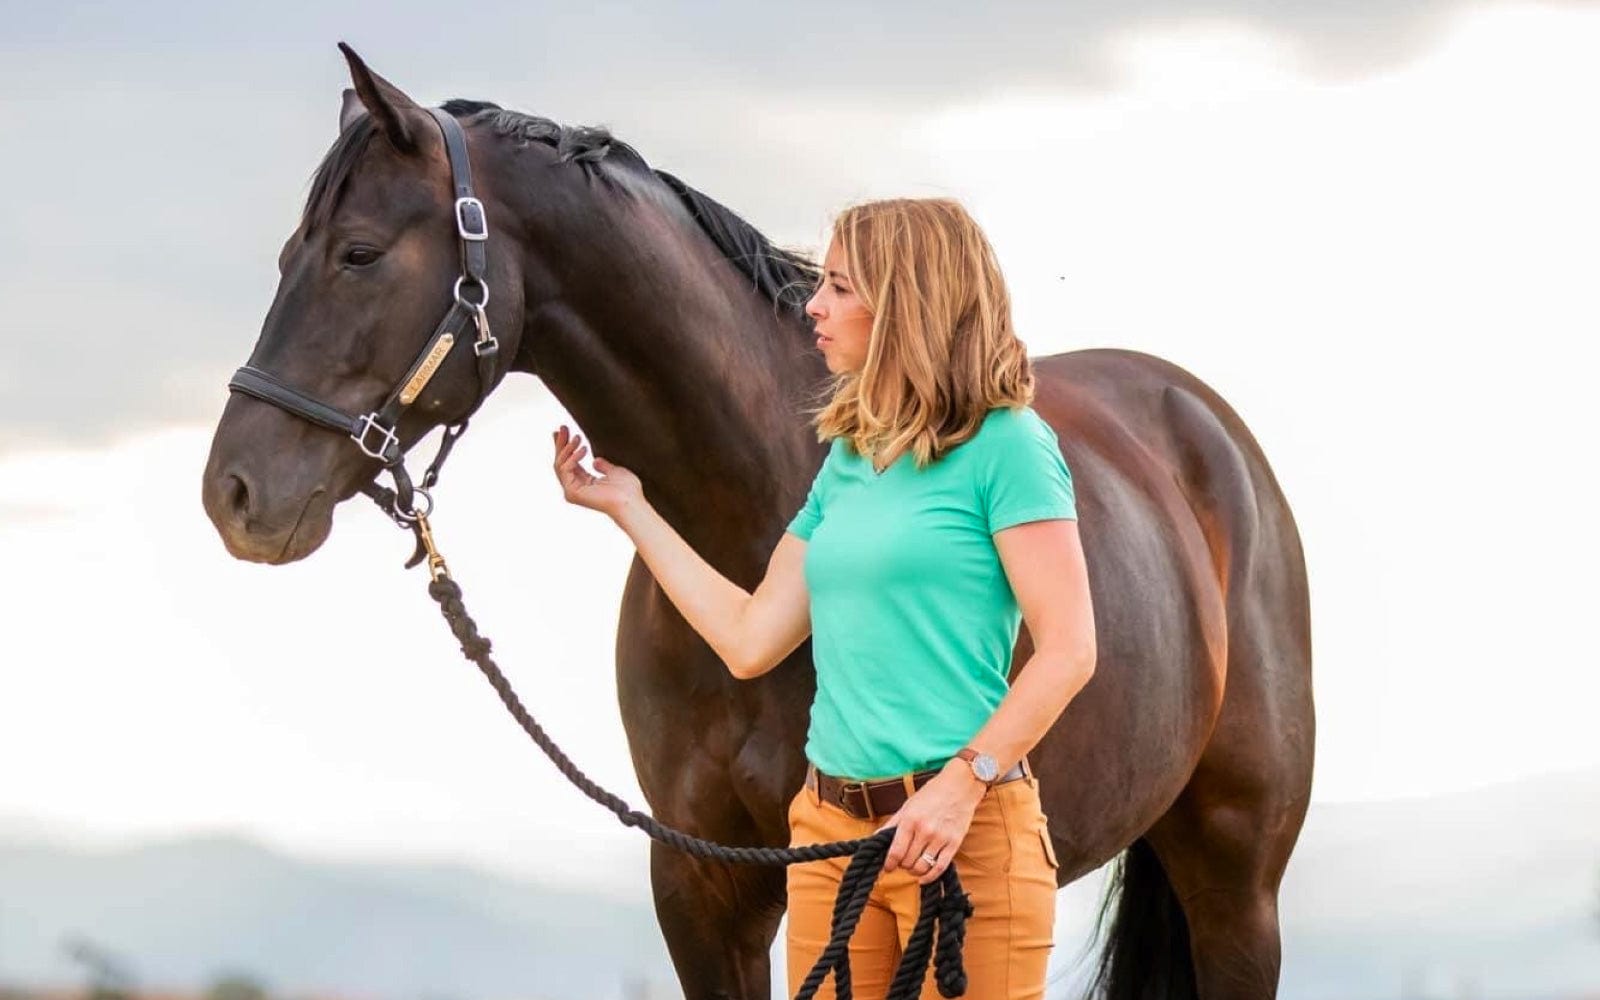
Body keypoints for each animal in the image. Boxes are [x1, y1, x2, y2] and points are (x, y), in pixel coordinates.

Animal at [201, 45, 1314, 1000]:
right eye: (288, 252)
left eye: (358, 253)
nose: (233, 493)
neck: (751, 508)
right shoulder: (704, 890)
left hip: (1235, 883)